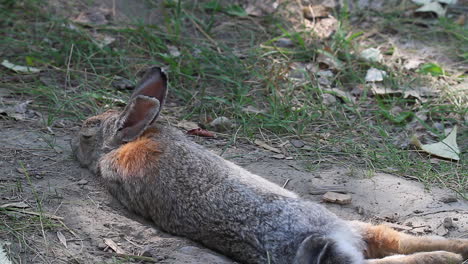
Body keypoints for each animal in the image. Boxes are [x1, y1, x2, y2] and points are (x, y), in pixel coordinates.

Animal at [71, 67, 466, 264]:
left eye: (88, 132)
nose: (73, 147)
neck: (130, 139)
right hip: (347, 233)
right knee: (395, 244)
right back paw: (452, 252)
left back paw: (448, 253)